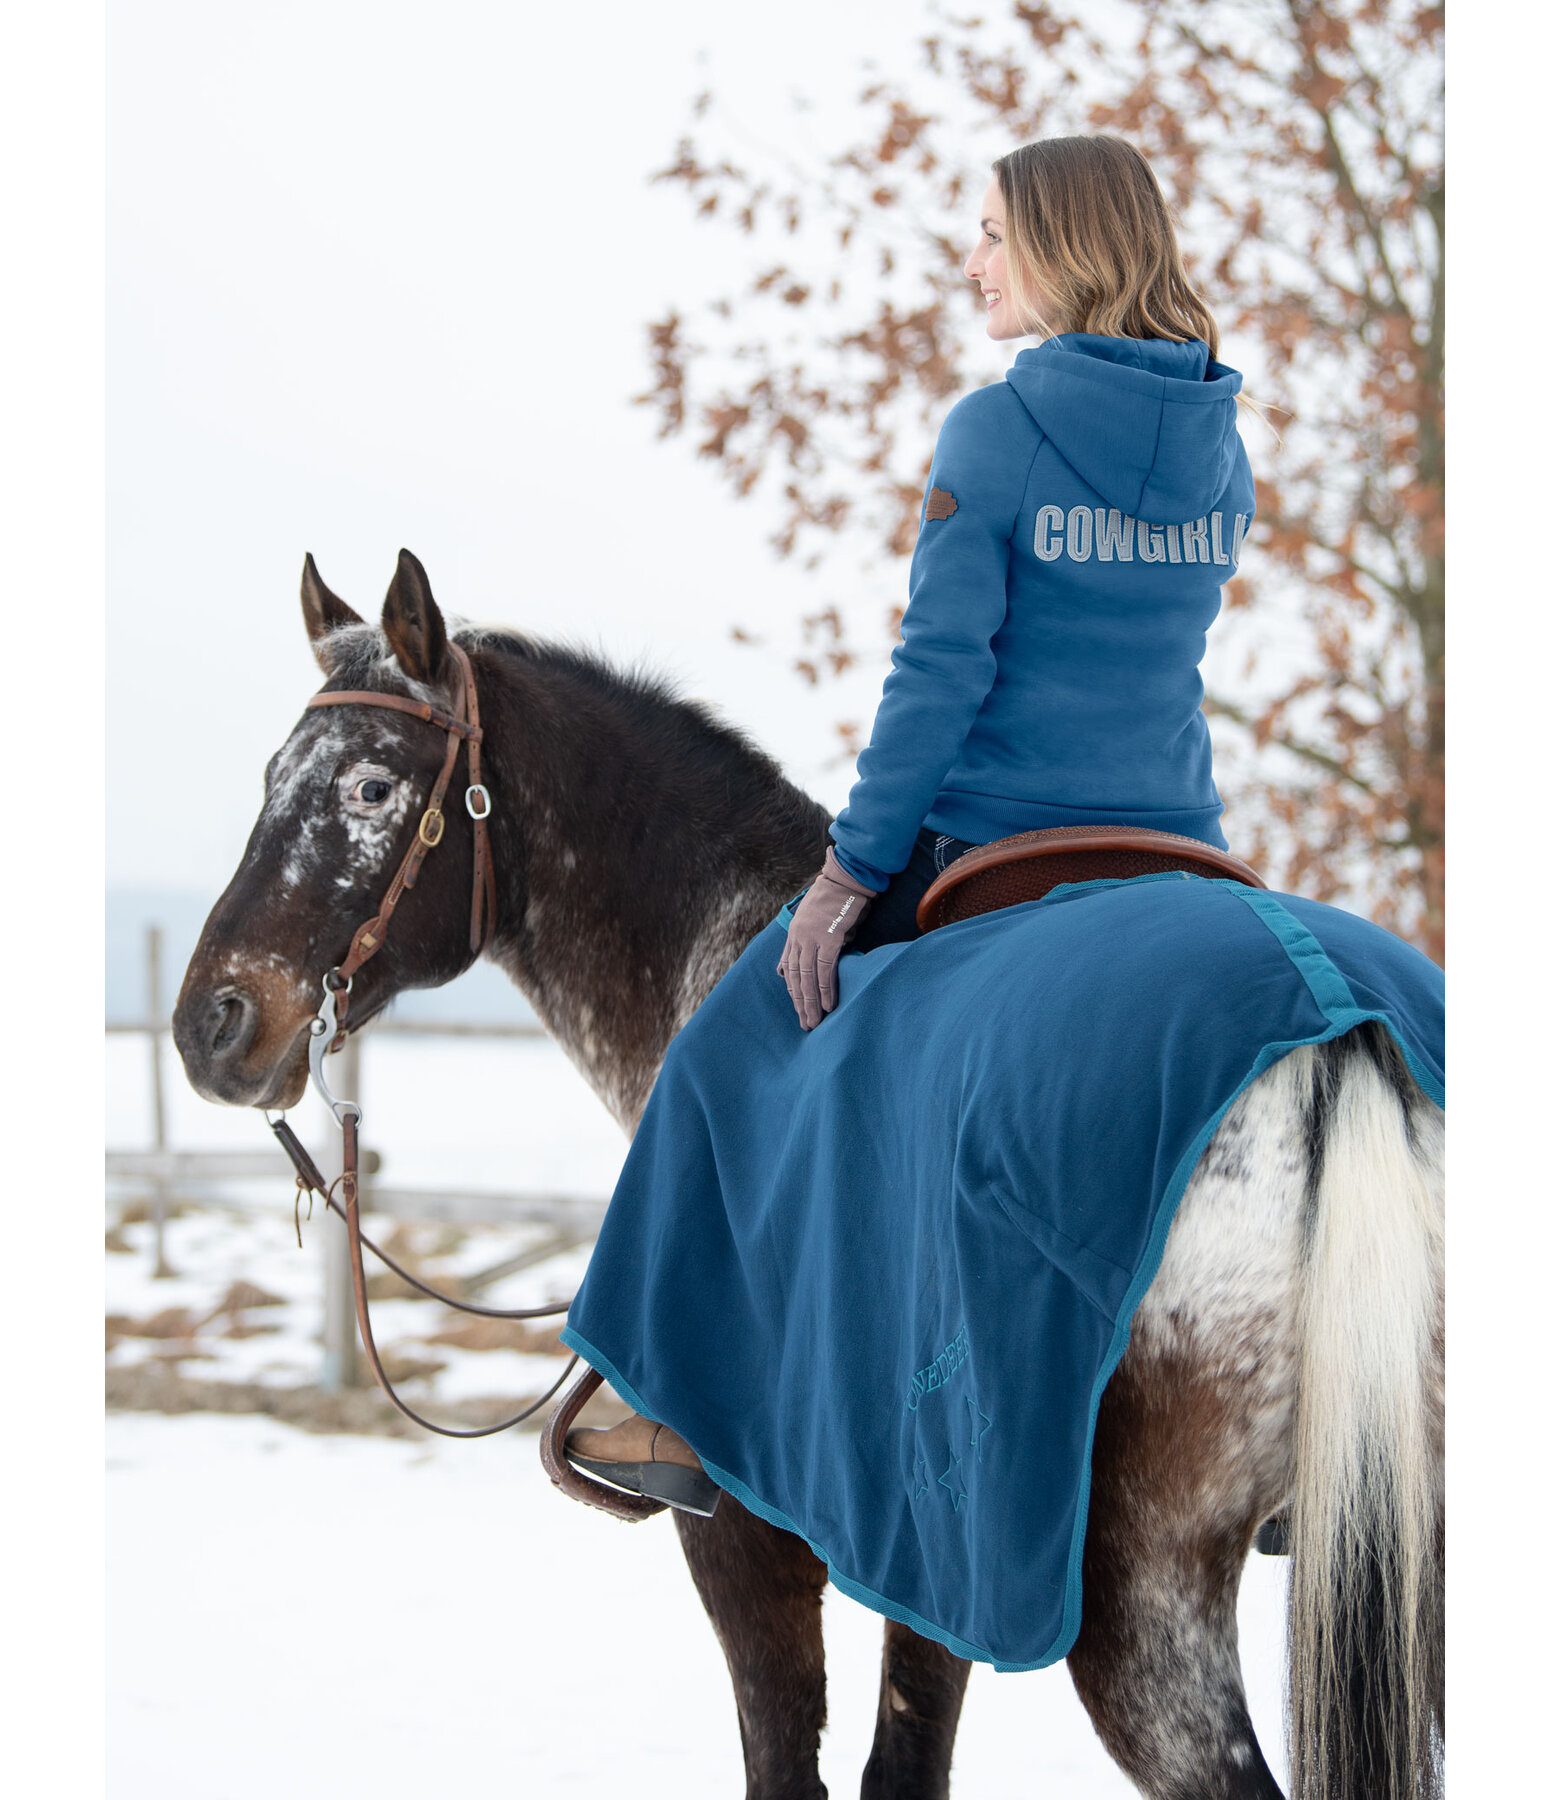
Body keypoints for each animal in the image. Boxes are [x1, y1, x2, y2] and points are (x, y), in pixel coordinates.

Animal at [175, 550, 1447, 1800]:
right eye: (269, 778)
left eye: (372, 787)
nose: (210, 1025)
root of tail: (1333, 1023)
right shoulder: (928, 1570)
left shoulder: (746, 1537)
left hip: (1146, 1603)